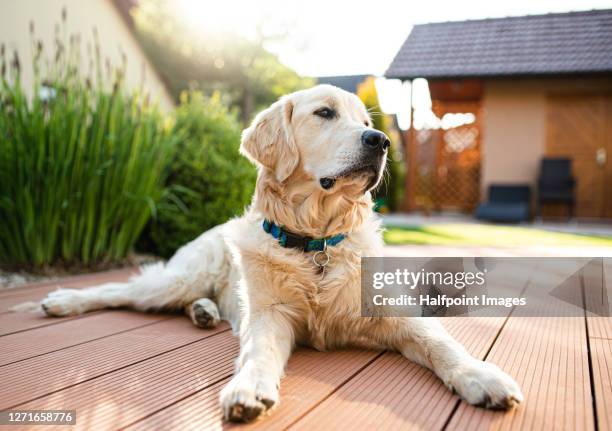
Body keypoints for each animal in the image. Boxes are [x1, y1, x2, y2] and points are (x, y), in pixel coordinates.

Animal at [40, 86, 524, 424]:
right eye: (325, 113)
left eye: (364, 120)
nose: (382, 140)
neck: (316, 243)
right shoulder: (270, 314)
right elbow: (259, 350)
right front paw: (249, 389)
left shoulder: (393, 312)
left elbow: (442, 343)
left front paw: (483, 377)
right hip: (177, 279)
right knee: (118, 289)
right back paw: (63, 300)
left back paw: (203, 312)